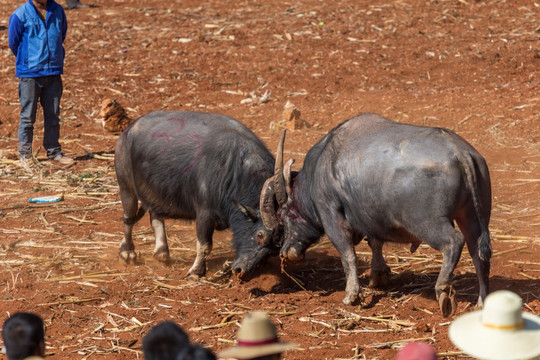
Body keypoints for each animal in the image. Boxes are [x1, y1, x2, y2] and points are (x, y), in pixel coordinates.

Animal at [115, 109, 280, 278]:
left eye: (275, 249)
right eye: (260, 235)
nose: (241, 270)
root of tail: (128, 131)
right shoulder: (204, 213)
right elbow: (205, 245)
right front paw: (196, 271)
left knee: (155, 215)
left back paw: (162, 253)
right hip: (125, 186)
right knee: (128, 218)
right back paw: (127, 253)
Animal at [260, 112, 492, 316]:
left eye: (285, 216)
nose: (286, 252)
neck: (322, 167)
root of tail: (460, 153)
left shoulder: (331, 216)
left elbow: (348, 255)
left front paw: (351, 295)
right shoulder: (370, 218)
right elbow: (375, 243)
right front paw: (378, 276)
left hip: (428, 223)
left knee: (453, 242)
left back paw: (443, 291)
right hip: (472, 217)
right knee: (479, 254)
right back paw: (481, 302)